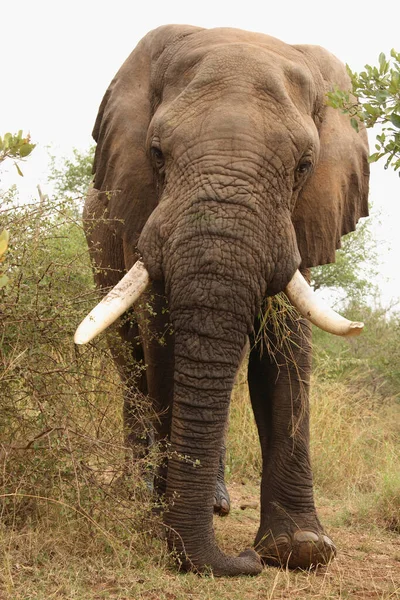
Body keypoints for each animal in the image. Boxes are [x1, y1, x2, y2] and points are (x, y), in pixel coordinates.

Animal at [75, 24, 368, 576]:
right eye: (157, 153)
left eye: (304, 166)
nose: (243, 561)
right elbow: (165, 347)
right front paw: (161, 523)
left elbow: (287, 351)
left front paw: (300, 549)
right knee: (131, 363)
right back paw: (140, 491)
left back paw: (217, 503)